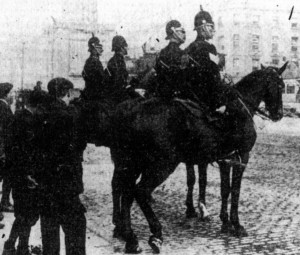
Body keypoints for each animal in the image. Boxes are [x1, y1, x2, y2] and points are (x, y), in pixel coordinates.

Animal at [109, 62, 286, 253]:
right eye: (280, 86)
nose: (279, 114)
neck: (238, 111)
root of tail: (134, 111)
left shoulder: (225, 160)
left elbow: (225, 190)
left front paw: (225, 222)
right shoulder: (241, 158)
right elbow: (235, 191)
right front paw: (236, 225)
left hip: (131, 163)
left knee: (124, 190)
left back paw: (128, 236)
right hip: (162, 165)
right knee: (140, 191)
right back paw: (155, 234)